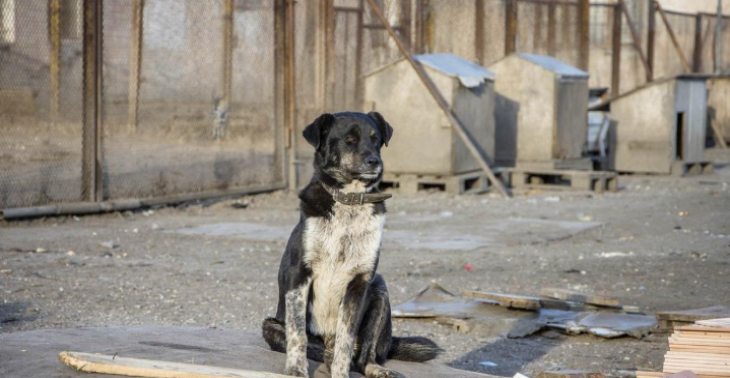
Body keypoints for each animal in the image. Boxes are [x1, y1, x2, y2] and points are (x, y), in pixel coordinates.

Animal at [262, 112, 438, 378]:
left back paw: (375, 368)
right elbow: (298, 335)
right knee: (315, 347)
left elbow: (345, 343)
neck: (350, 202)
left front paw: (340, 373)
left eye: (376, 139)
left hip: (379, 292)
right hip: (270, 325)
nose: (375, 162)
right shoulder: (298, 275)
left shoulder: (358, 283)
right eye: (349, 140)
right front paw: (296, 370)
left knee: (363, 356)